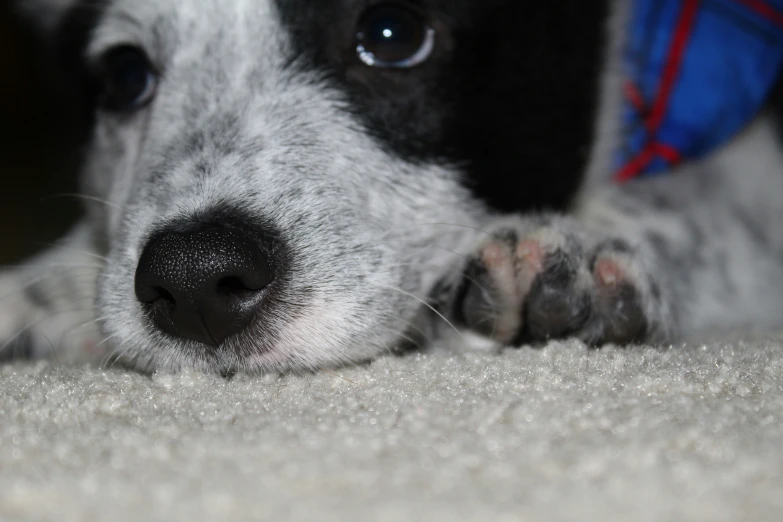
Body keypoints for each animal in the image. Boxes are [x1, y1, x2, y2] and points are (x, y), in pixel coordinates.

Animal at [4, 1, 783, 374]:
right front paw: (40, 290)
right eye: (125, 76)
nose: (194, 279)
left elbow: (701, 207)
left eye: (391, 32)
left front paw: (583, 248)